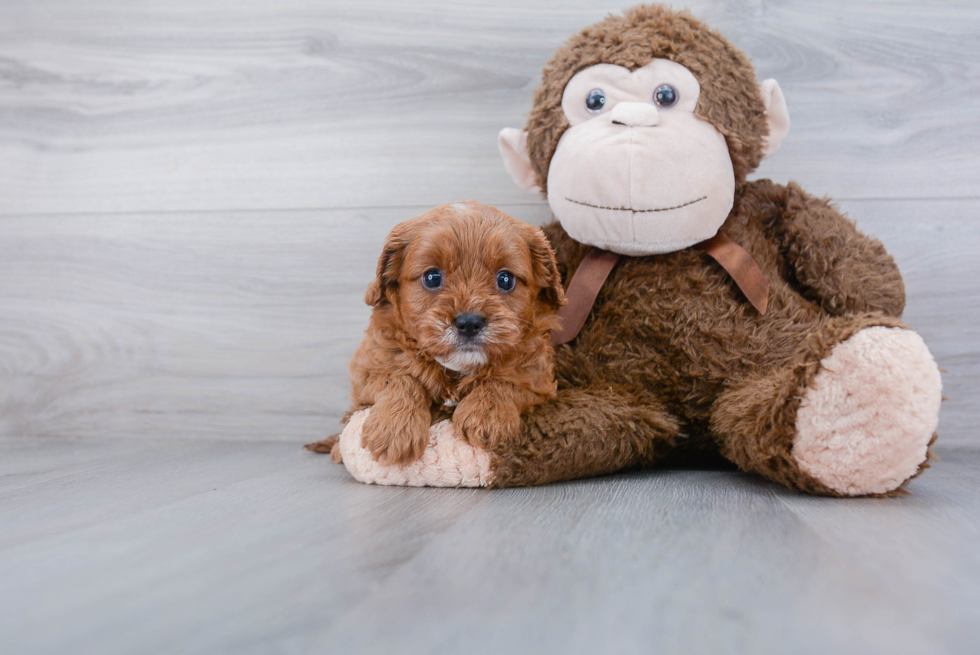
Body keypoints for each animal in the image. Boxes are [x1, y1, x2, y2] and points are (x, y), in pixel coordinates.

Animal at [306, 200, 568, 466]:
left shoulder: (538, 375)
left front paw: (486, 415)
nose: (469, 322)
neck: (457, 367)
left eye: (505, 280)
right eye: (432, 278)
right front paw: (394, 429)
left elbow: (508, 377)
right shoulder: (369, 367)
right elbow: (400, 377)